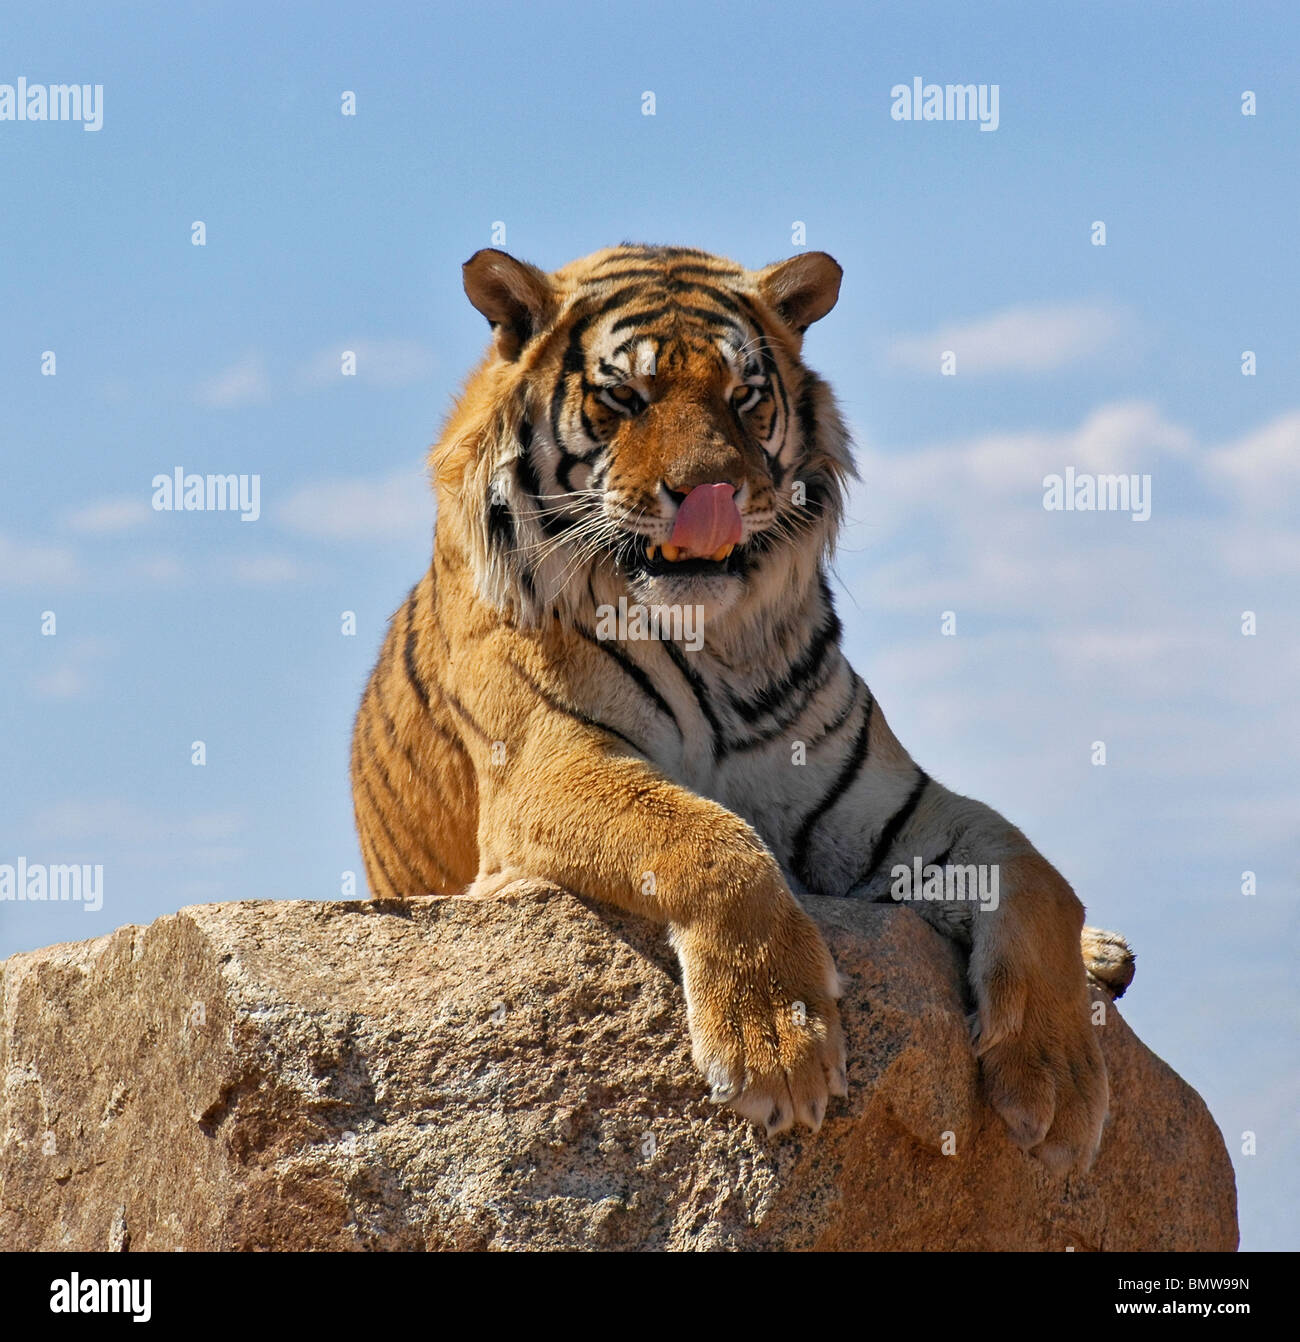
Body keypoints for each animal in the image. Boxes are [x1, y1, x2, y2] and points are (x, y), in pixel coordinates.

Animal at [348, 244, 1132, 1175]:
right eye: (625, 397)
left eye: (744, 395)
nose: (710, 494)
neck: (714, 645)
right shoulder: (549, 763)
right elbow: (710, 839)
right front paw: (777, 1047)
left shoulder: (878, 803)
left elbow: (1033, 870)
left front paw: (1059, 1084)